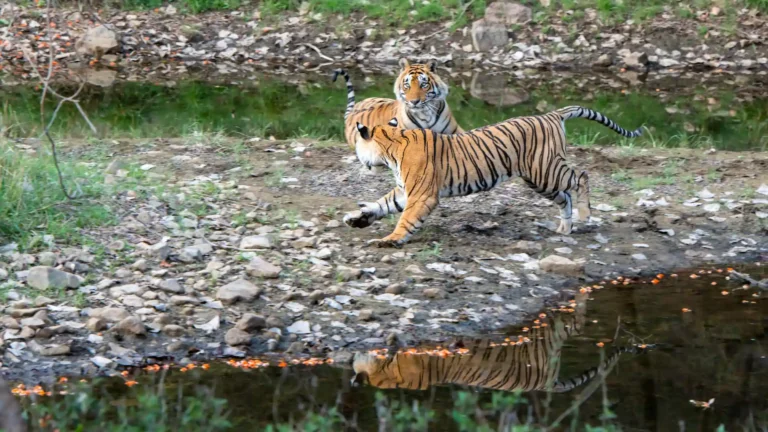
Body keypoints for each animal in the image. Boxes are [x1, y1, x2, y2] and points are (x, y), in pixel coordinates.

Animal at [332, 58, 463, 153]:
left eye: (423, 85)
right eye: (407, 85)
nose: (414, 102)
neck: (425, 114)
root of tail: (351, 113)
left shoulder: (455, 130)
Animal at [342, 106, 642, 246]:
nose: (358, 159)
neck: (391, 145)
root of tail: (551, 115)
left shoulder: (421, 194)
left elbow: (405, 219)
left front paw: (390, 240)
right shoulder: (406, 190)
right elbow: (383, 203)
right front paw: (358, 218)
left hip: (545, 171)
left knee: (580, 175)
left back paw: (584, 215)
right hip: (539, 180)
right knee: (564, 197)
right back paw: (564, 228)